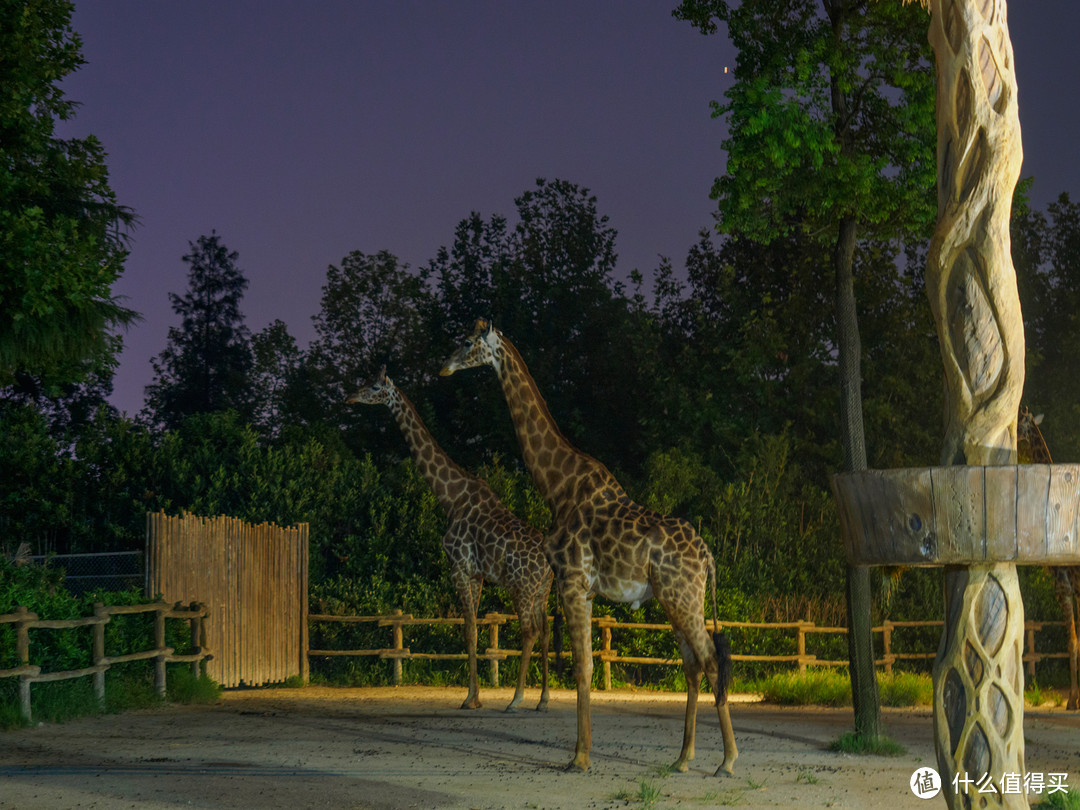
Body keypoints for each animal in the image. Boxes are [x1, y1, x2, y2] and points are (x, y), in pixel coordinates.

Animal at [347, 369, 557, 717]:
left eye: (375, 386)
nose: (351, 397)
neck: (450, 498)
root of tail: (550, 565)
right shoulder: (476, 574)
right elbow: (473, 631)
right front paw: (476, 696)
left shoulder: (458, 567)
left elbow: (469, 631)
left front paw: (470, 699)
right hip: (542, 591)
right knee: (546, 632)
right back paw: (542, 700)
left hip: (521, 587)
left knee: (529, 632)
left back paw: (516, 700)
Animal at [436, 319, 734, 777]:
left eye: (468, 342)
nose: (444, 367)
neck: (557, 486)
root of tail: (708, 558)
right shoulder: (585, 590)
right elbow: (587, 664)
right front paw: (582, 752)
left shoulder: (573, 582)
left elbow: (582, 666)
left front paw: (579, 757)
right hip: (679, 600)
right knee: (693, 663)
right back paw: (683, 758)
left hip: (680, 598)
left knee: (710, 660)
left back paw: (727, 761)